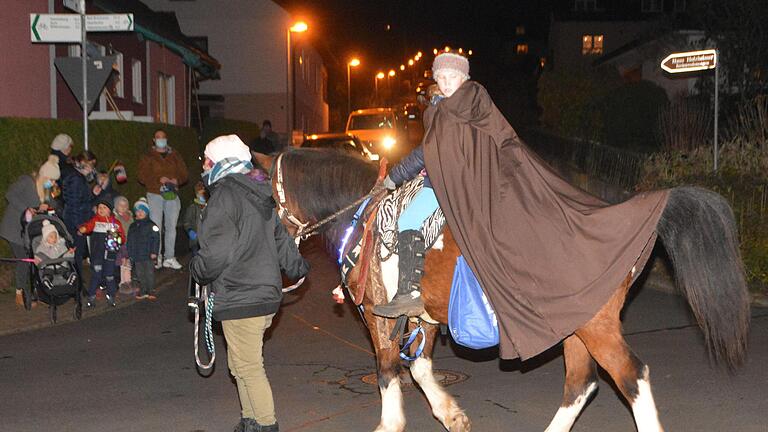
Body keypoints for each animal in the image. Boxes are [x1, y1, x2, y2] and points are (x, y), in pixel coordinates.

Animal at [254, 149, 752, 432]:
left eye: (268, 199)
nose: (277, 267)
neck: (365, 214)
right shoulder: (424, 314)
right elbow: (420, 368)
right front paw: (451, 414)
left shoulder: (380, 315)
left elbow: (388, 371)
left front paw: (393, 421)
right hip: (575, 327)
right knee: (581, 383)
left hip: (597, 327)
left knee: (631, 377)